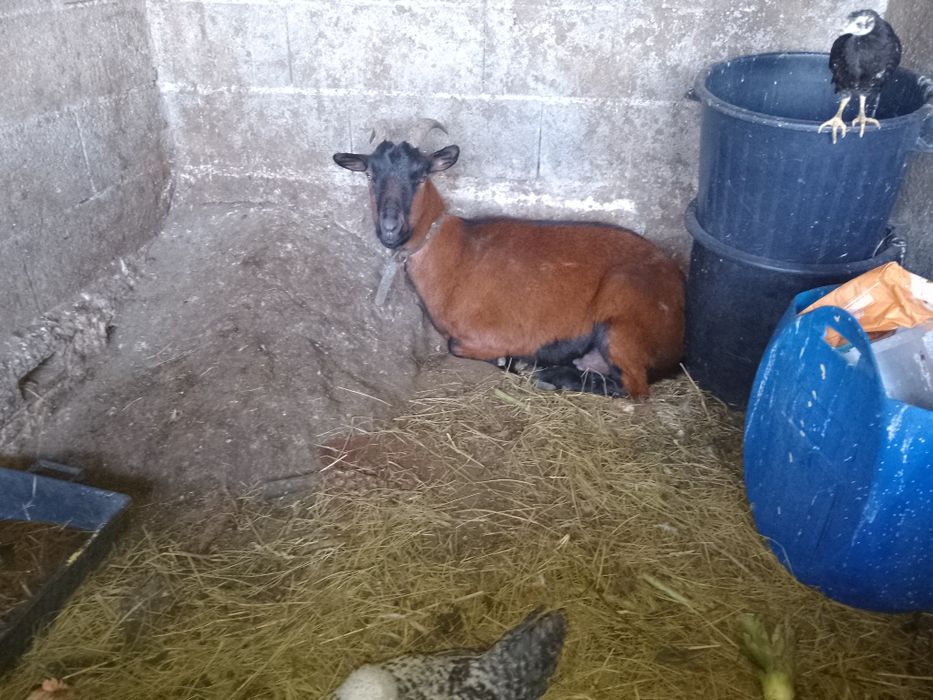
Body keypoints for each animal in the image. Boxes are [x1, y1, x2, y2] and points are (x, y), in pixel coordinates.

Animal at [333, 121, 684, 399]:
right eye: (370, 174)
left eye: (421, 175)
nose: (390, 227)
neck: (455, 250)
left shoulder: (491, 333)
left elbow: (456, 346)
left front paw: (511, 360)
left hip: (622, 319)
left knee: (633, 387)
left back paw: (543, 373)